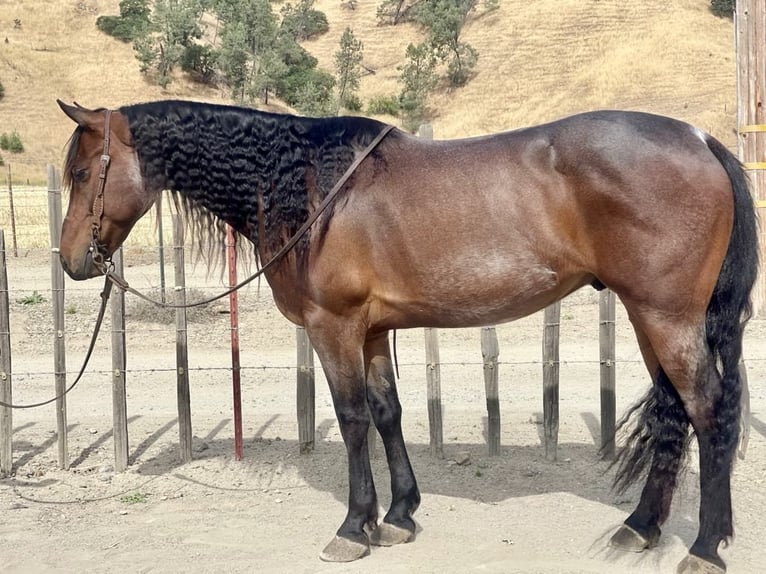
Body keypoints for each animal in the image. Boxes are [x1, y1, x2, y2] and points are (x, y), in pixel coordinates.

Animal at [57, 99, 757, 573]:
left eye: (84, 172)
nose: (72, 261)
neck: (311, 187)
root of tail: (700, 139)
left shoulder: (334, 327)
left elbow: (352, 419)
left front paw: (353, 526)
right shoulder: (371, 332)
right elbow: (387, 412)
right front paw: (397, 516)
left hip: (666, 318)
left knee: (708, 411)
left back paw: (704, 545)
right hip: (649, 318)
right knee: (674, 413)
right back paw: (640, 528)